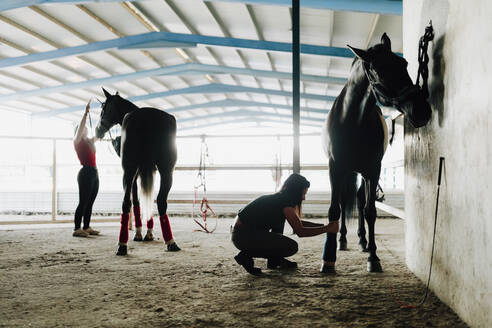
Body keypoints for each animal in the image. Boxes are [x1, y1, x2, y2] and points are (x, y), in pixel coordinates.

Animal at [95, 88, 180, 255]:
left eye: (103, 108)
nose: (98, 130)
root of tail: (147, 117)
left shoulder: (135, 172)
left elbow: (136, 199)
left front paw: (140, 233)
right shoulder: (148, 170)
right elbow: (148, 199)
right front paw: (148, 233)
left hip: (129, 170)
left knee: (127, 202)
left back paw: (122, 244)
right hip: (167, 171)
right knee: (161, 201)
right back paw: (170, 242)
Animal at [320, 33, 430, 274]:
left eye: (404, 63)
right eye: (379, 70)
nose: (422, 111)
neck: (353, 121)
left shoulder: (373, 169)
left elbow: (370, 211)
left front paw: (373, 257)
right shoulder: (335, 167)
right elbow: (335, 209)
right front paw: (328, 259)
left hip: (362, 173)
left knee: (360, 200)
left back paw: (362, 241)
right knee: (345, 200)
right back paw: (343, 240)